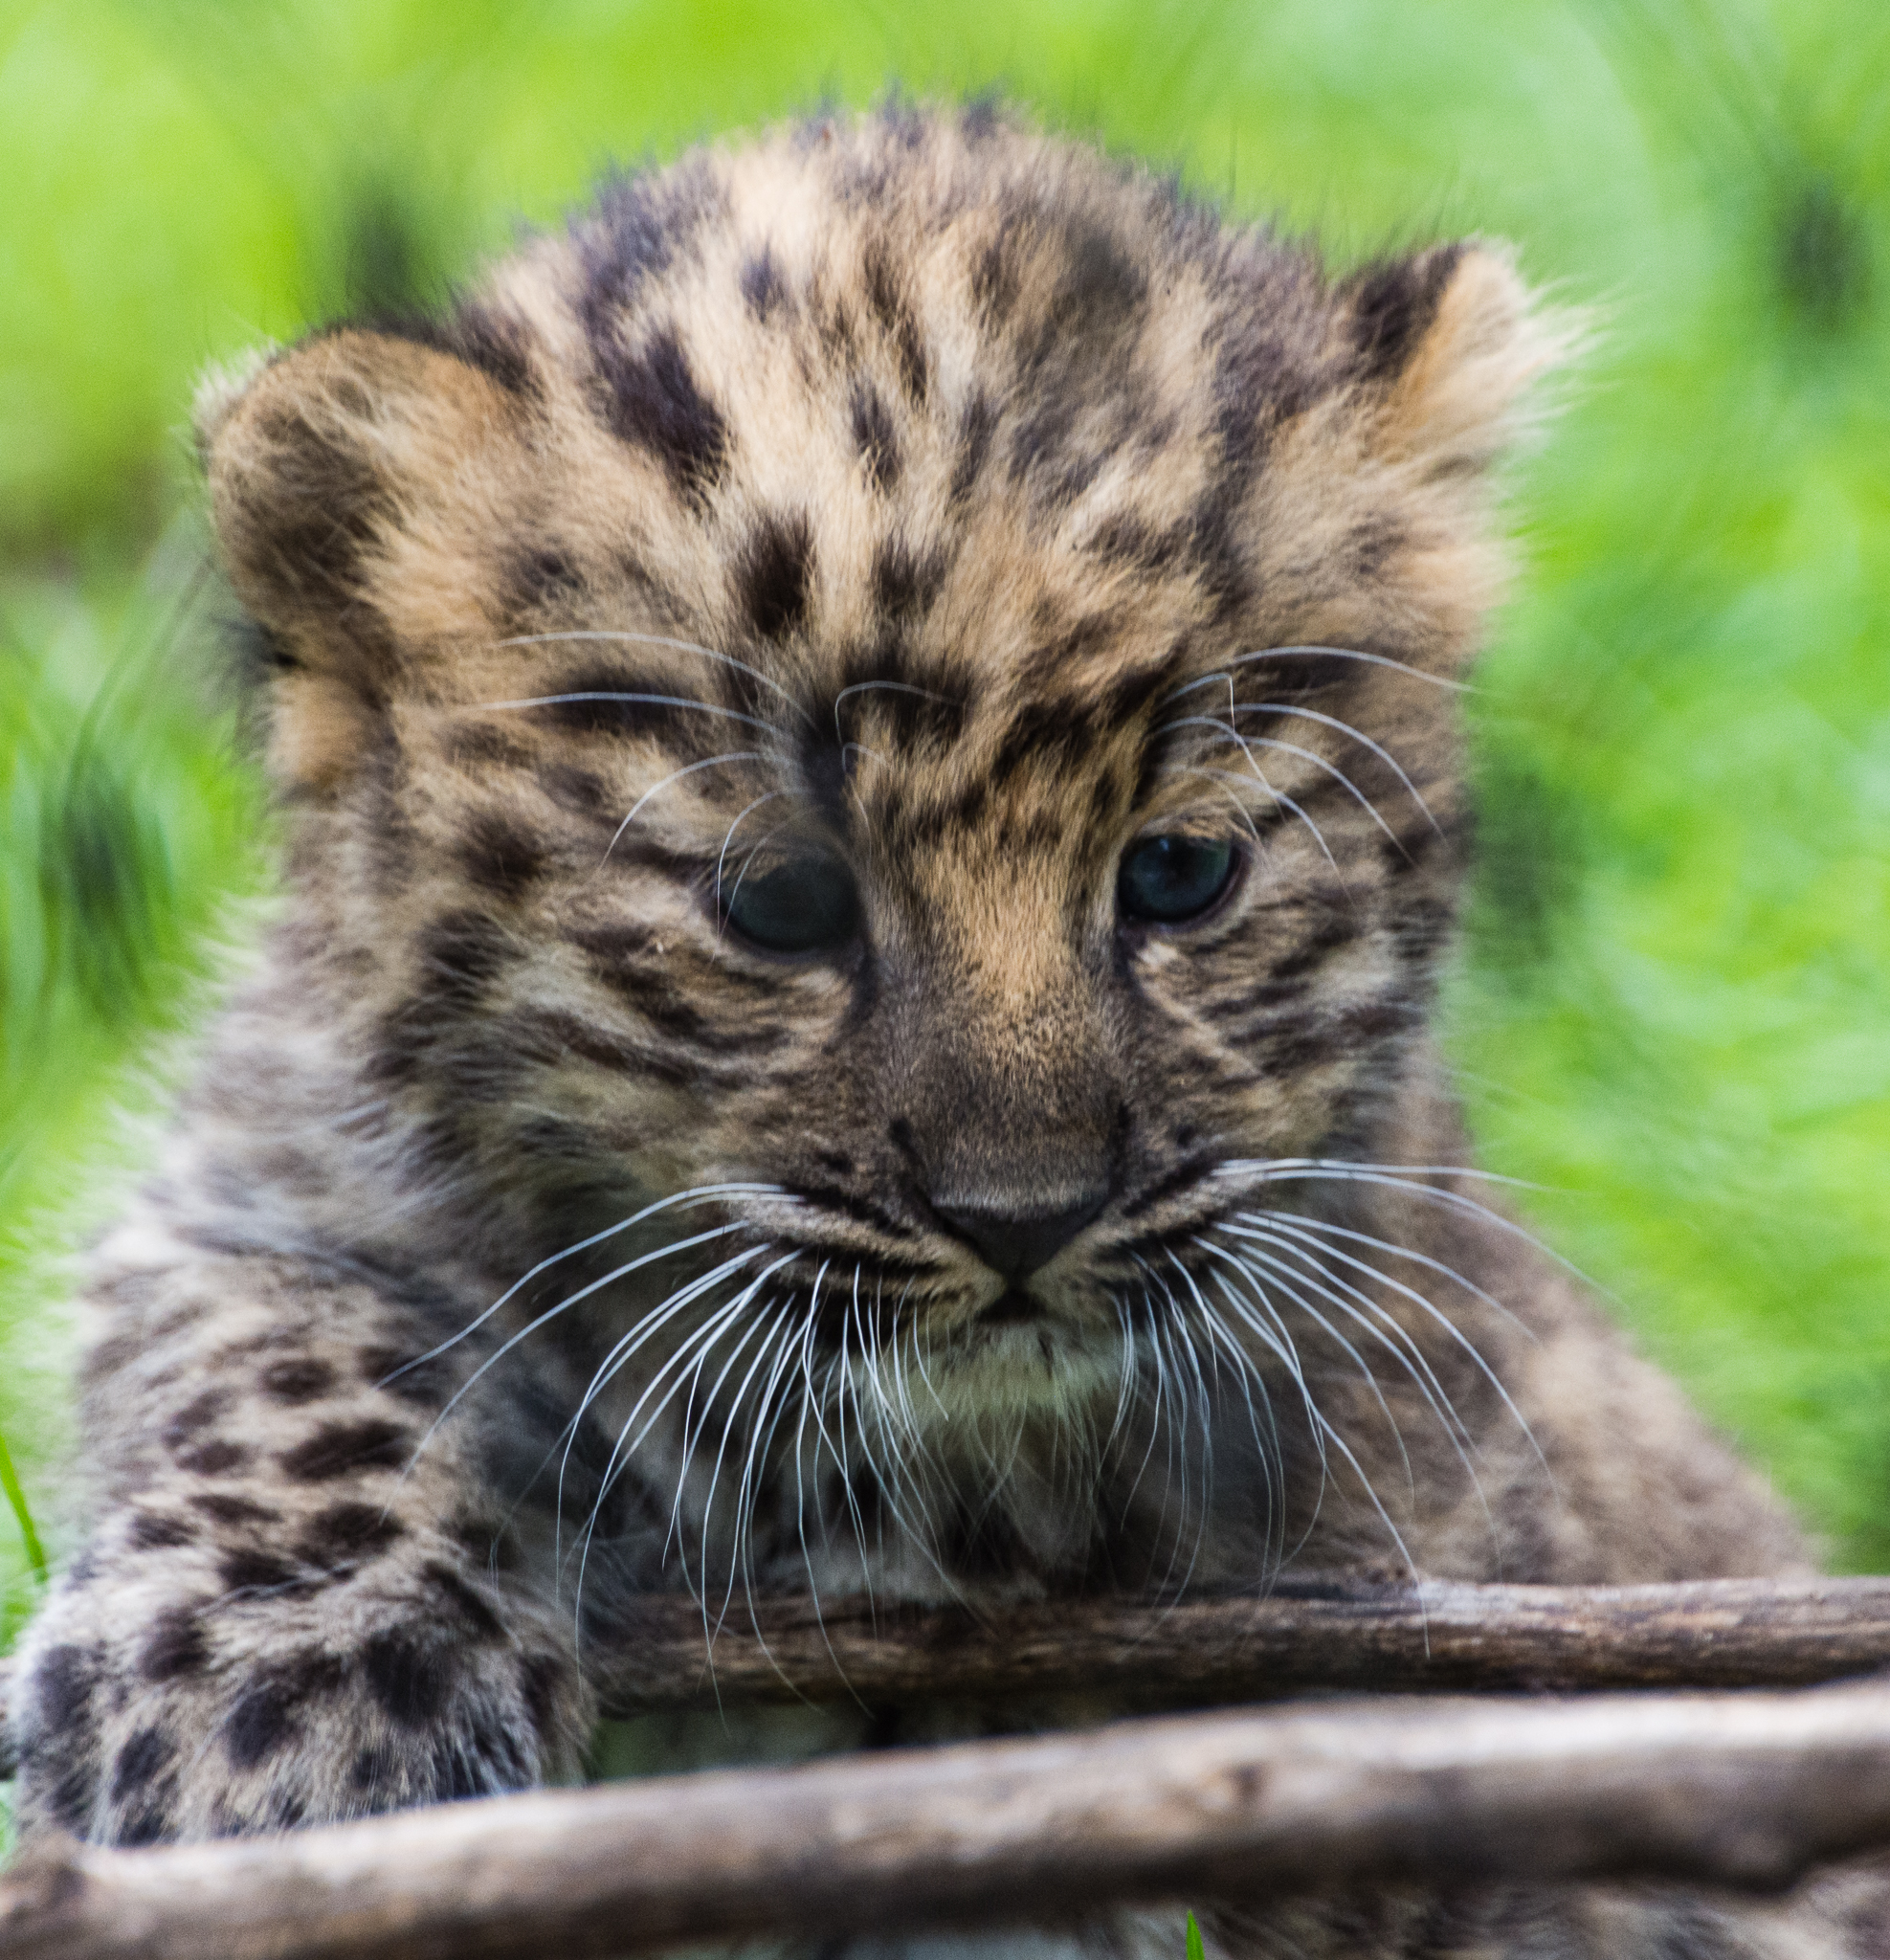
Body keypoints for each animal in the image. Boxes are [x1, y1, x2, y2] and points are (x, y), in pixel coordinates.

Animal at [8, 97, 1880, 1959]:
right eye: (779, 903)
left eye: (1179, 873)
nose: (1021, 1217)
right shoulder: (258, 1166)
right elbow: (293, 1346)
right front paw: (260, 1717)